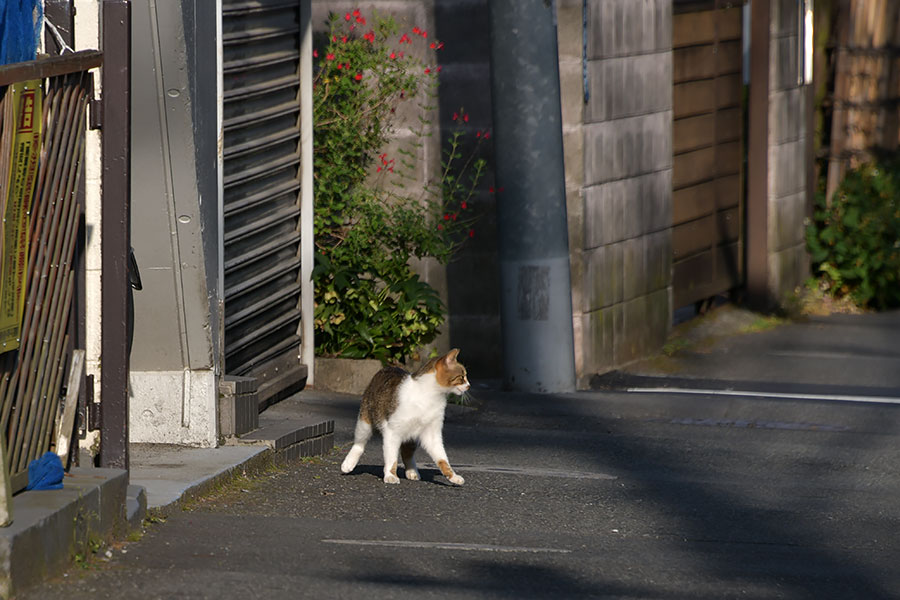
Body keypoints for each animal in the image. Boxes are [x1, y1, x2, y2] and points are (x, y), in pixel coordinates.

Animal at [340, 350, 472, 486]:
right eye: (462, 377)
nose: (469, 385)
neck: (428, 396)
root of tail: (388, 367)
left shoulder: (432, 434)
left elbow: (442, 458)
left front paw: (453, 476)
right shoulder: (392, 431)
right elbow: (392, 457)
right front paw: (391, 475)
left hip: (412, 436)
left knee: (407, 453)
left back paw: (412, 471)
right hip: (365, 420)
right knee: (359, 443)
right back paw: (349, 463)